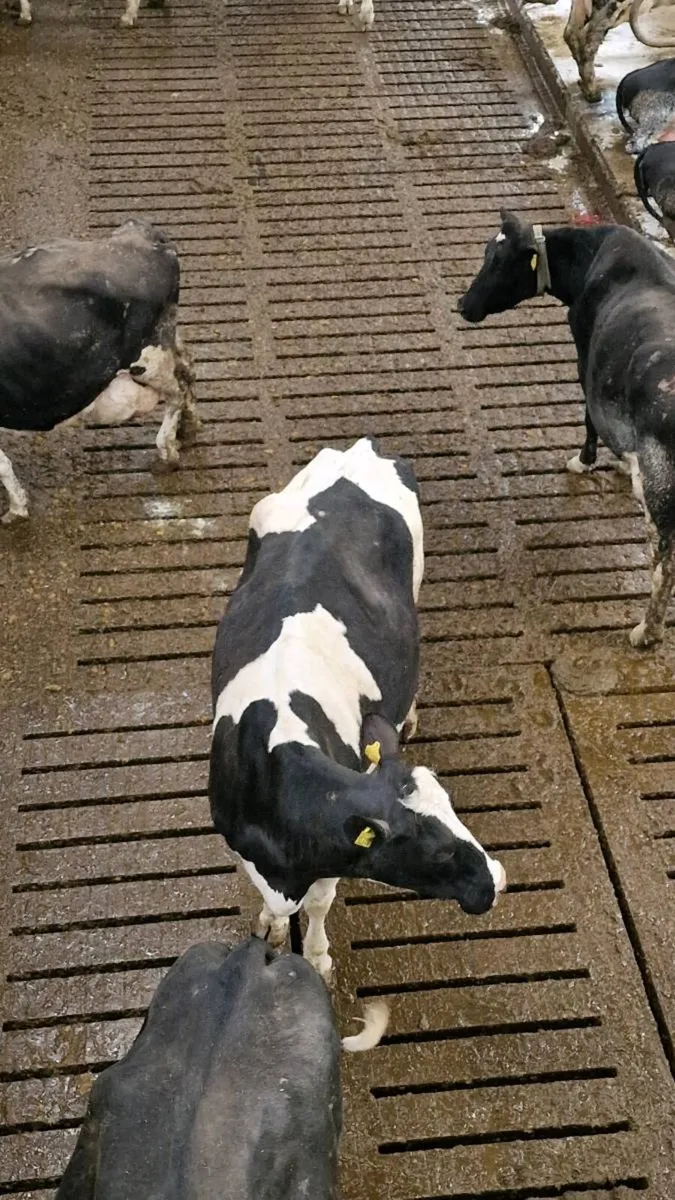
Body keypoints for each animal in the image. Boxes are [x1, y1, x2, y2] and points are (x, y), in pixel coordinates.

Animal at [0, 219, 198, 524]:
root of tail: (140, 234)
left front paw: (17, 509)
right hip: (164, 341)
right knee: (187, 369)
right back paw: (188, 428)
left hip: (148, 358)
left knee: (177, 390)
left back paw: (168, 454)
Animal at [208, 437, 506, 983]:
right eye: (438, 849)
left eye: (454, 809)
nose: (496, 879)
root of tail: (358, 451)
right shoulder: (247, 850)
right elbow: (274, 906)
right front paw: (271, 928)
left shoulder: (333, 859)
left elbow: (319, 904)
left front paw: (317, 958)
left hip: (414, 582)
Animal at [458, 209, 675, 649]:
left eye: (498, 262)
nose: (462, 305)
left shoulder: (584, 353)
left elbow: (589, 415)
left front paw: (583, 461)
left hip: (660, 491)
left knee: (664, 565)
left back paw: (645, 632)